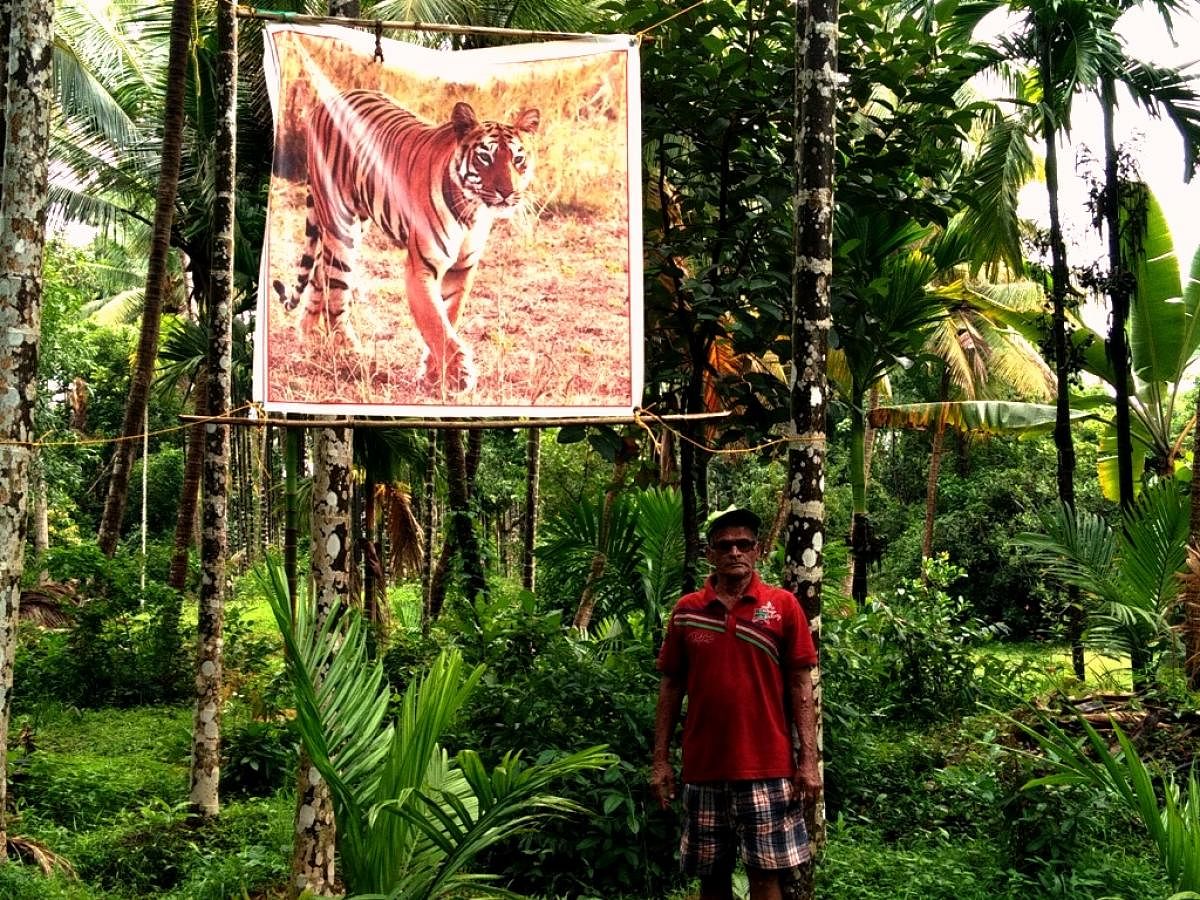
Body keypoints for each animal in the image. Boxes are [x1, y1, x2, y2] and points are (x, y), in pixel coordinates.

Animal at [274, 90, 542, 393]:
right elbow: (435, 322)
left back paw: (309, 339)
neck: (472, 212)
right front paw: (460, 375)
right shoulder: (421, 267)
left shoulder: (461, 270)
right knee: (336, 294)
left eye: (518, 159)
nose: (508, 192)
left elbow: (448, 318)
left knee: (320, 272)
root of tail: (330, 99)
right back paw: (348, 355)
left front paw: (434, 374)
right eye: (485, 157)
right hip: (341, 226)